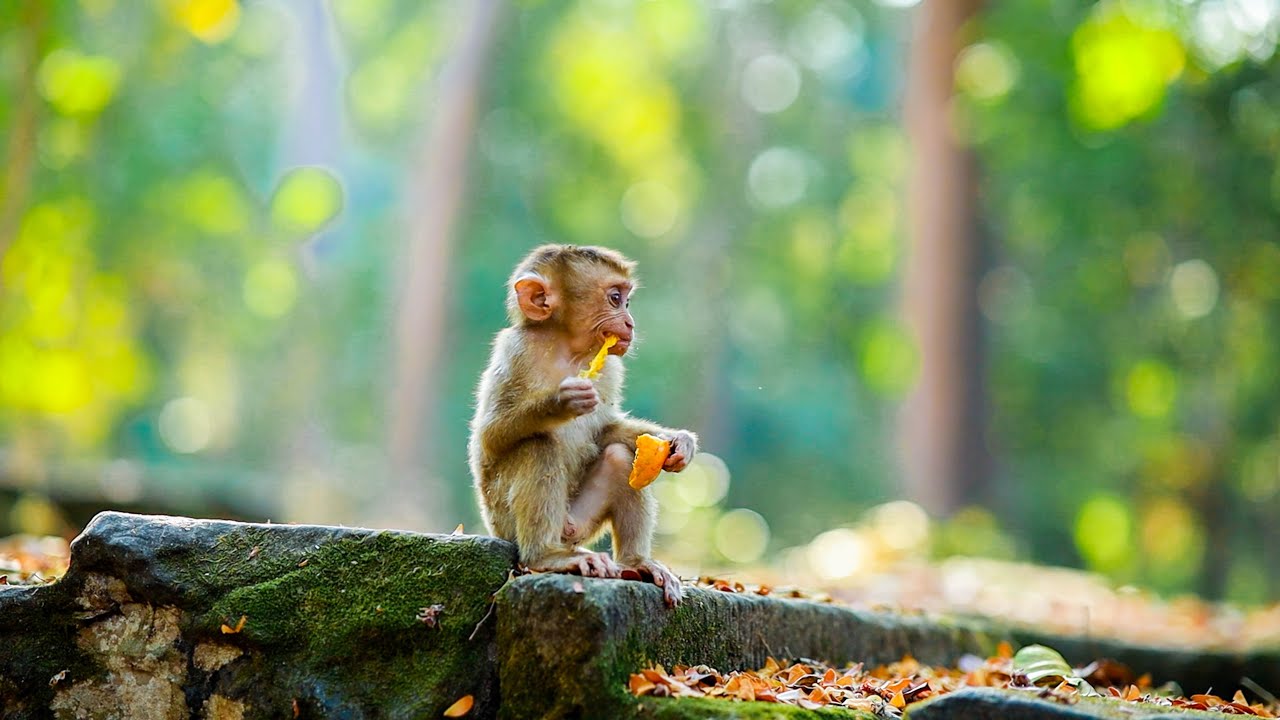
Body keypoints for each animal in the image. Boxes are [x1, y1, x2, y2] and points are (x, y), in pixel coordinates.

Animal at [468, 244, 697, 606]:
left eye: (627, 302)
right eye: (615, 298)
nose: (630, 323)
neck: (568, 350)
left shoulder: (611, 368)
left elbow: (605, 431)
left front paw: (680, 442)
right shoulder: (516, 351)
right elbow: (491, 435)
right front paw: (562, 401)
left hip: (581, 523)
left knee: (621, 457)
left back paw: (636, 562)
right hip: (505, 522)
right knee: (537, 446)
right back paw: (547, 557)